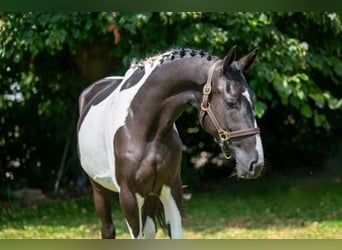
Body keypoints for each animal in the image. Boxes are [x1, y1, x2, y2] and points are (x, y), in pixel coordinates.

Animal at [77, 46, 264, 239]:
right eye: (230, 102)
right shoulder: (129, 197)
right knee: (108, 229)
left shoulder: (171, 190)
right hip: (98, 187)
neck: (144, 128)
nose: (256, 163)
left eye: (254, 100)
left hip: (150, 196)